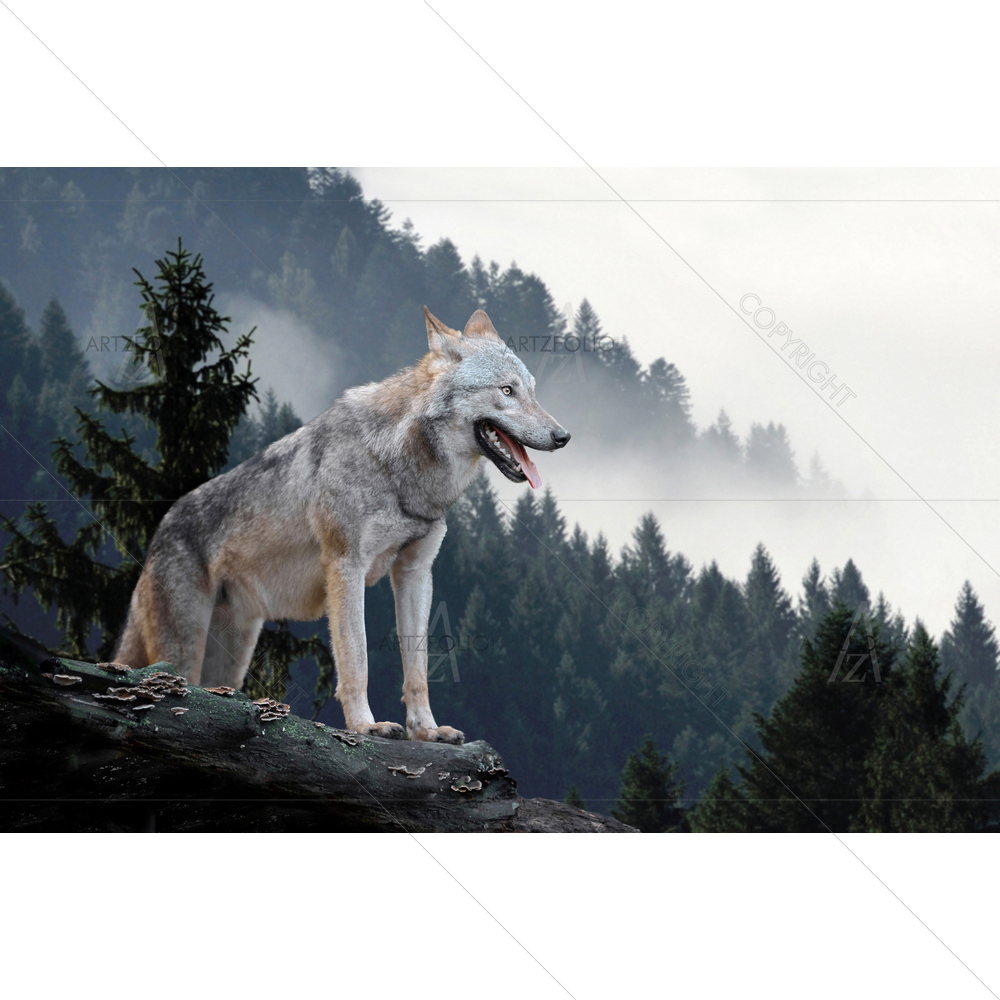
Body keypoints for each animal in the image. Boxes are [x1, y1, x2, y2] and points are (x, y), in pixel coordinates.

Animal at [115, 307, 570, 743]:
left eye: (532, 390)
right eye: (507, 391)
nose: (563, 436)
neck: (399, 466)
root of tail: (159, 531)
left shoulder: (416, 572)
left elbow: (417, 669)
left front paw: (426, 730)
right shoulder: (346, 566)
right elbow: (357, 659)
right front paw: (366, 727)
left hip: (230, 660)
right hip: (183, 653)